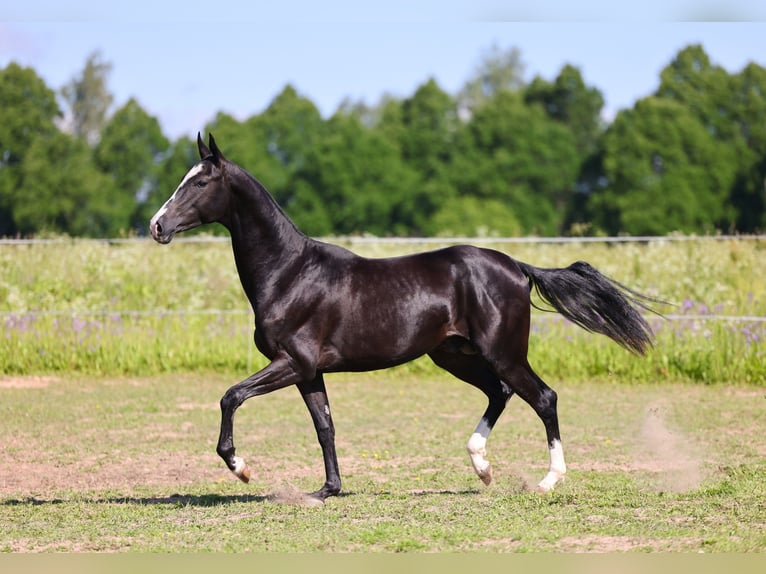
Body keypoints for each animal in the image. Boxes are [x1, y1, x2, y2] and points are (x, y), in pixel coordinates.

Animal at [152, 134, 660, 504]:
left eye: (199, 184)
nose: (158, 226)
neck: (290, 272)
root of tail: (516, 267)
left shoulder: (292, 363)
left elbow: (231, 396)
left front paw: (241, 468)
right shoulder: (309, 372)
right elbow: (325, 427)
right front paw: (327, 490)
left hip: (503, 353)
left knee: (543, 397)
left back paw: (547, 480)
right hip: (454, 355)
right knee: (501, 392)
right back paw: (482, 468)